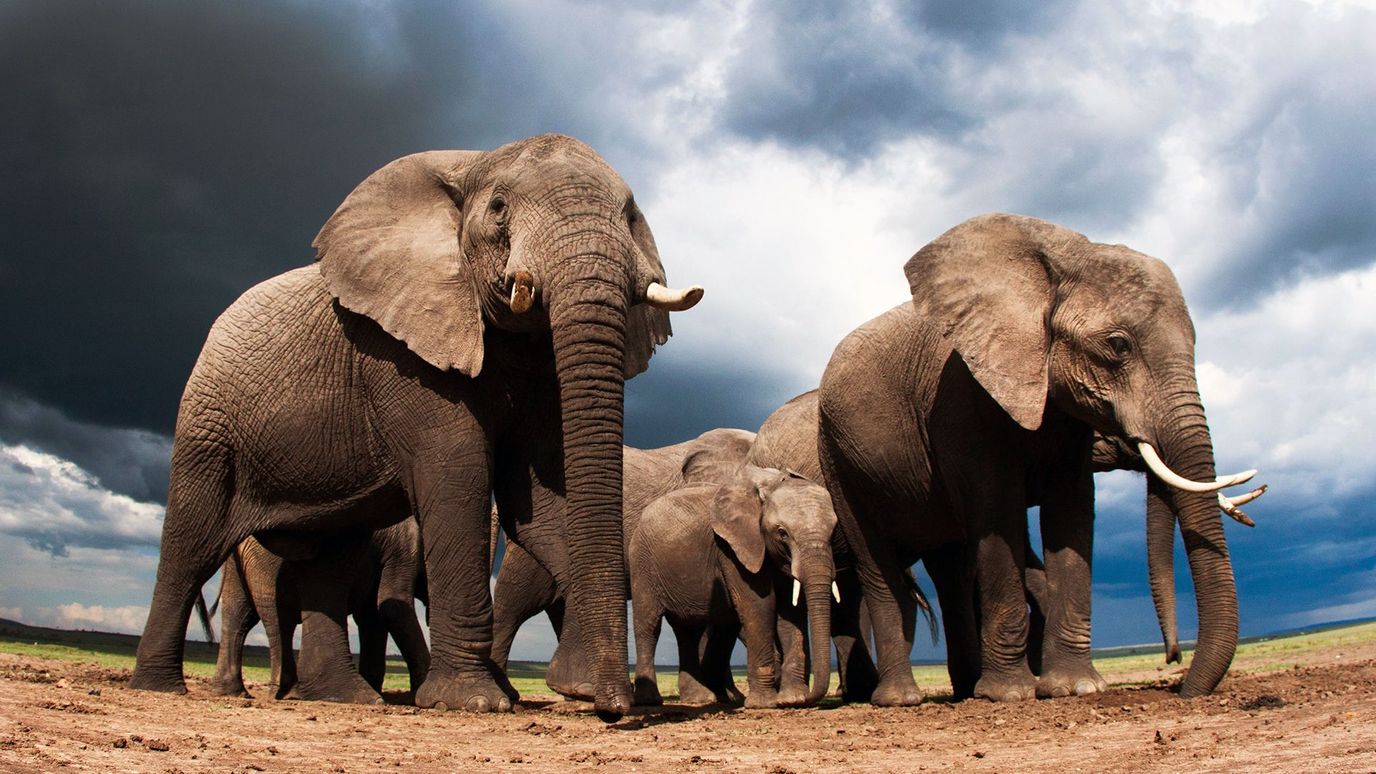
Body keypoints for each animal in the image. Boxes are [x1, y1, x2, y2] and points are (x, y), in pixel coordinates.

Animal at [210, 519, 429, 702]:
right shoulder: (402, 549)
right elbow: (391, 607)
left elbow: (371, 617)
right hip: (269, 560)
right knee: (279, 616)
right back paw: (290, 693)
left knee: (238, 615)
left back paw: (233, 692)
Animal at [629, 465, 843, 708]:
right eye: (782, 533)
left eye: (834, 532)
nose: (809, 699)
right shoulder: (733, 547)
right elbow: (760, 606)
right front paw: (765, 704)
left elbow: (790, 612)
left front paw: (792, 698)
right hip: (642, 563)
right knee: (649, 626)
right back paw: (650, 700)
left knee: (690, 631)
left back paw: (700, 699)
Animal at [815, 213, 1259, 705]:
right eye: (1118, 345)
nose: (1179, 677)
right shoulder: (961, 398)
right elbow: (997, 513)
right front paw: (1009, 695)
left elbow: (1071, 511)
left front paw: (1074, 688)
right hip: (837, 457)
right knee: (878, 565)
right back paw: (901, 699)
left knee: (950, 569)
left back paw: (966, 689)